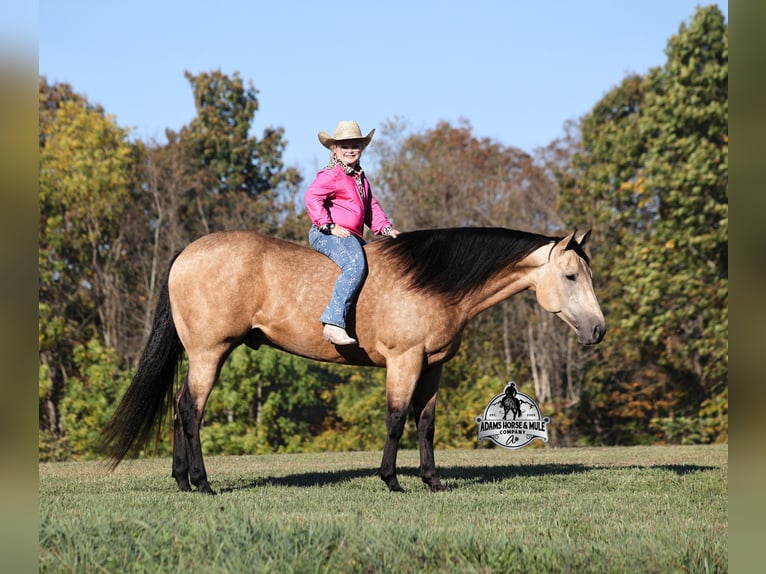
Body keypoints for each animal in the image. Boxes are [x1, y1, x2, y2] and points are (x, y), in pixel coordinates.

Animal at [101, 226, 605, 494]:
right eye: (570, 275)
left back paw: (182, 481)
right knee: (191, 410)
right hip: (210, 352)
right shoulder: (404, 362)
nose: (598, 329)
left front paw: (433, 481)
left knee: (179, 408)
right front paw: (392, 480)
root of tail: (186, 252)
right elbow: (396, 419)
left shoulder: (433, 366)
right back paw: (203, 483)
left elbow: (425, 423)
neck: (433, 283)